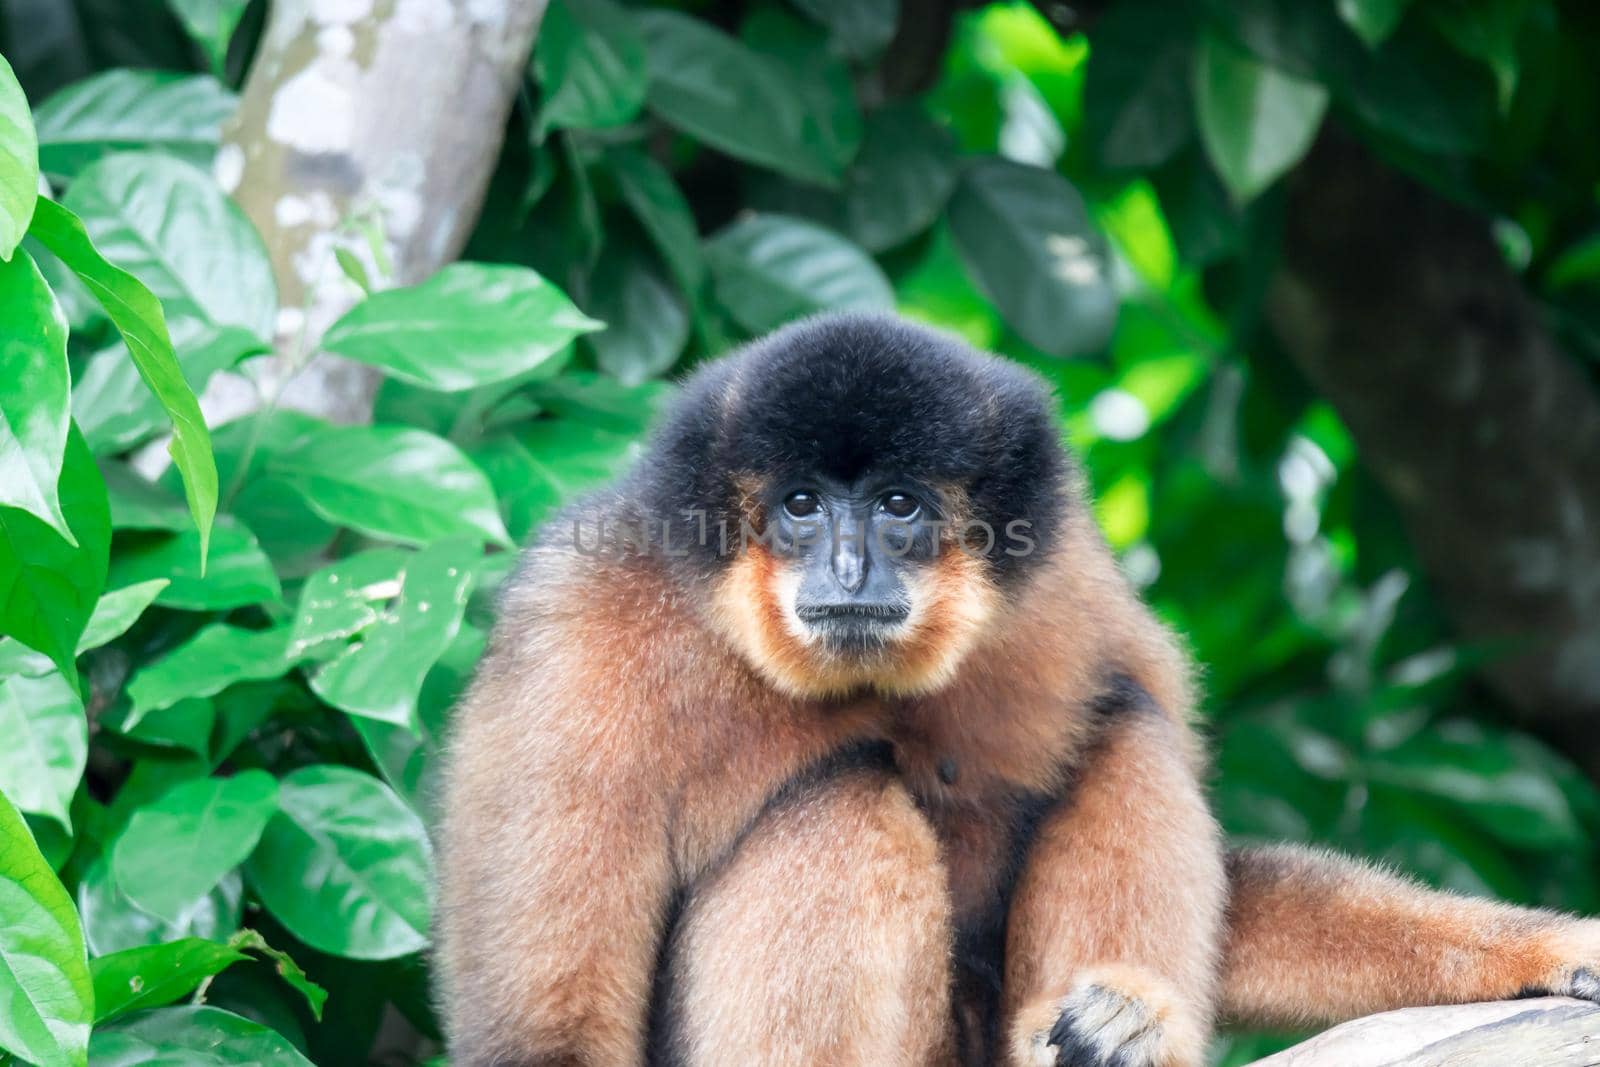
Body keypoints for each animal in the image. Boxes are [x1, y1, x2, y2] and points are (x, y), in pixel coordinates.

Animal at [435, 313, 1600, 1062]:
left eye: (898, 503)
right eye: (803, 505)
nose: (849, 568)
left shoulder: (1072, 586)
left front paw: (1549, 950)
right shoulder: (577, 638)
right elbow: (544, 1033)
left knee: (1121, 724)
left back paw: (1116, 1032)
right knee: (836, 801)